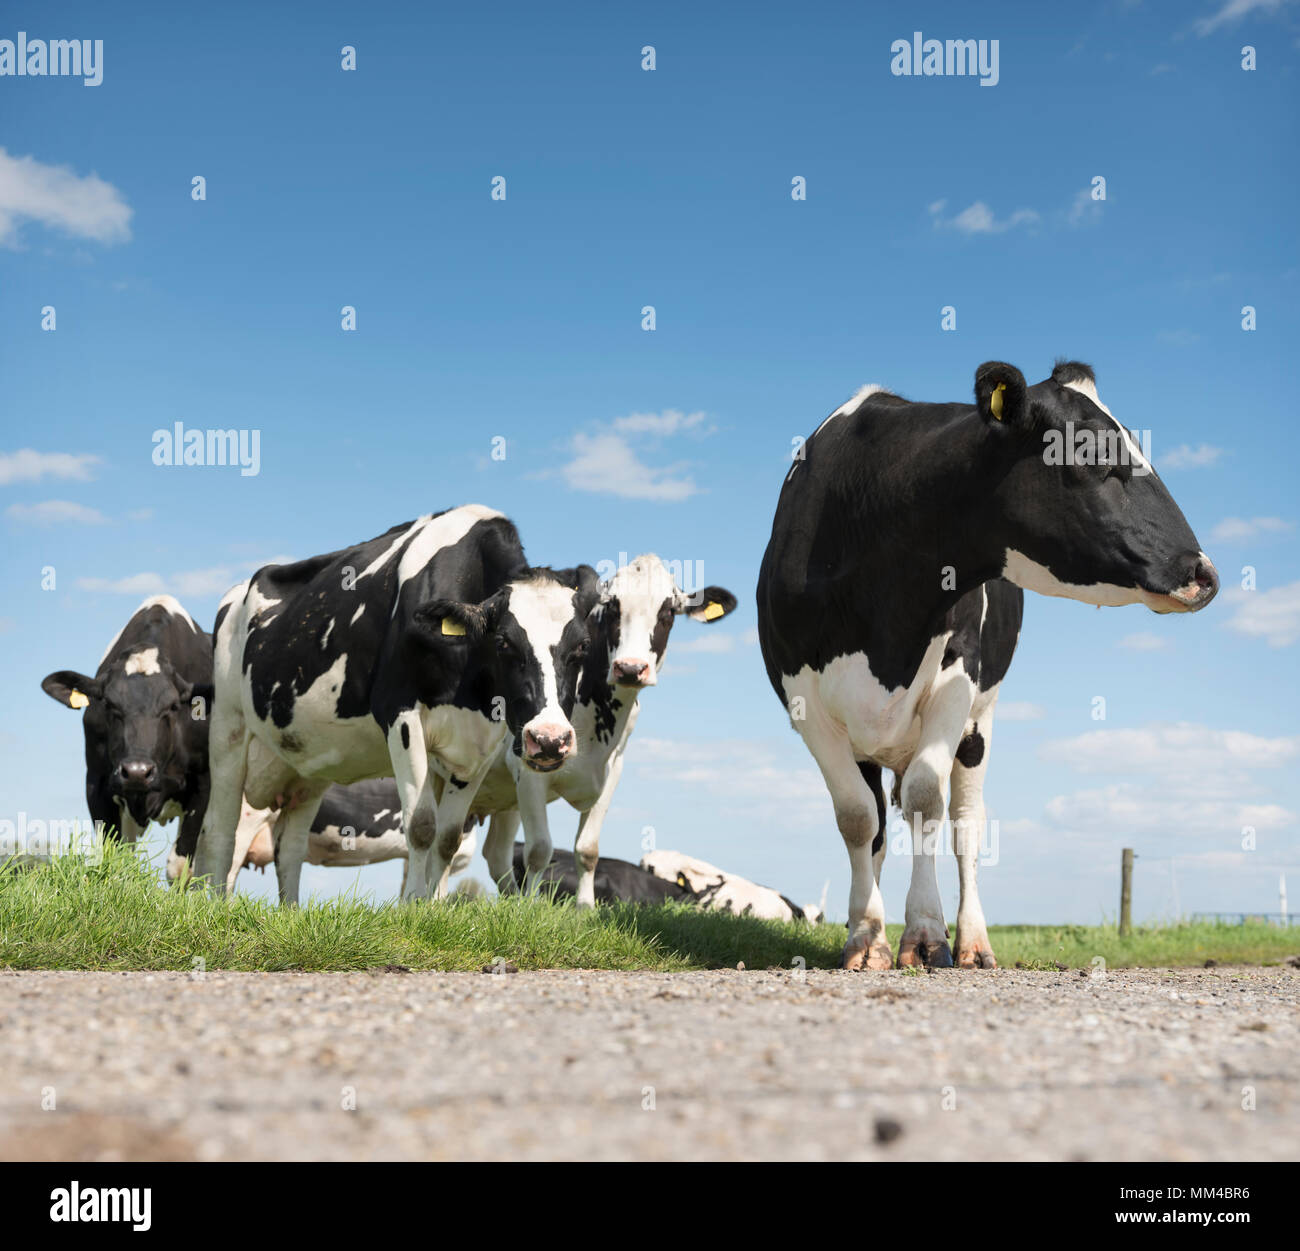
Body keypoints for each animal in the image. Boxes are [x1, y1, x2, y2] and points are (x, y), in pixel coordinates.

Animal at [41, 595, 213, 855]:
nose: (137, 772)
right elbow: (116, 855)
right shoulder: (97, 783)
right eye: (110, 704)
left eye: (172, 706)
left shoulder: (202, 785)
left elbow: (181, 858)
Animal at [192, 505, 597, 906]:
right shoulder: (401, 714)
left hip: (308, 761)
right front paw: (413, 907)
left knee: (289, 845)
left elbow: (447, 837)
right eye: (504, 642)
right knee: (219, 830)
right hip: (229, 726)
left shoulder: (481, 742)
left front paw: (434, 907)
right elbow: (421, 825)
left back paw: (290, 911)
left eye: (582, 646)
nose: (549, 740)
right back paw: (214, 904)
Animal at [757, 361, 1218, 971]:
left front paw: (925, 935)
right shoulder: (801, 697)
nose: (1204, 572)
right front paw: (865, 936)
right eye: (1092, 455)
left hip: (980, 724)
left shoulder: (959, 676)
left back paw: (973, 941)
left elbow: (927, 801)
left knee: (965, 827)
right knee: (876, 830)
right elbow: (857, 818)